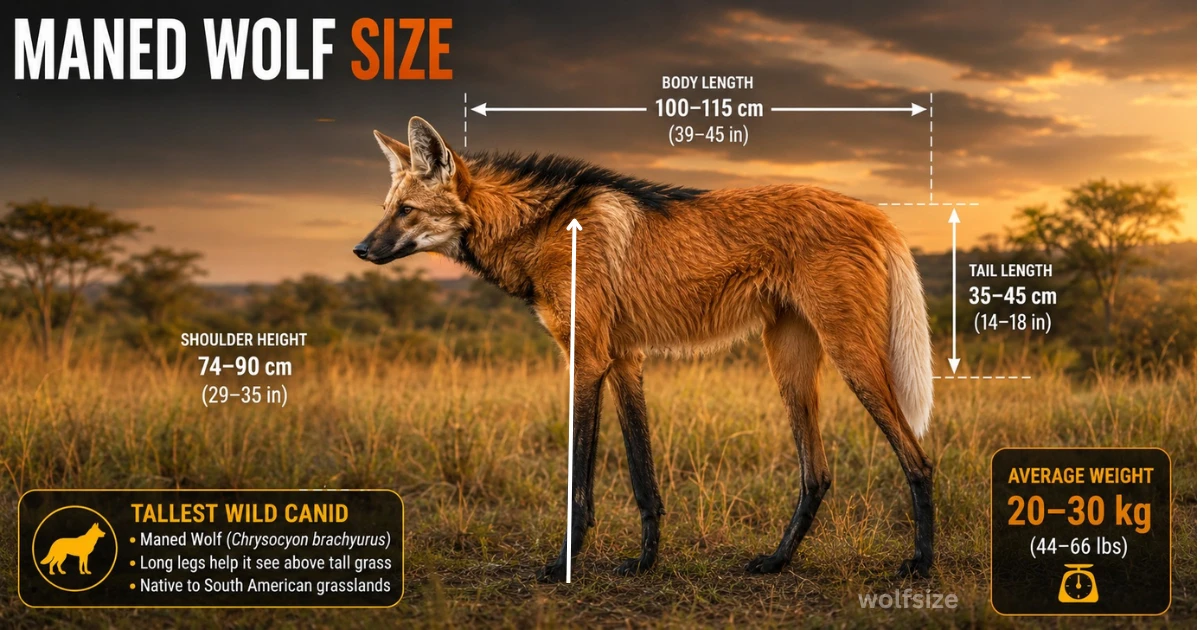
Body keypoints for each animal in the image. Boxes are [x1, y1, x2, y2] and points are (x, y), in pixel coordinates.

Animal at [355, 117, 935, 582]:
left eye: (407, 210)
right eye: (386, 209)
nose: (360, 249)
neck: (541, 229)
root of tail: (873, 212)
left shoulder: (586, 360)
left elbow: (580, 486)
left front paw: (562, 566)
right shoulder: (623, 359)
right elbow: (643, 479)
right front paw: (644, 563)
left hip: (850, 356)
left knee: (919, 461)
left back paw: (921, 565)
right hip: (788, 364)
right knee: (816, 475)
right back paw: (776, 562)